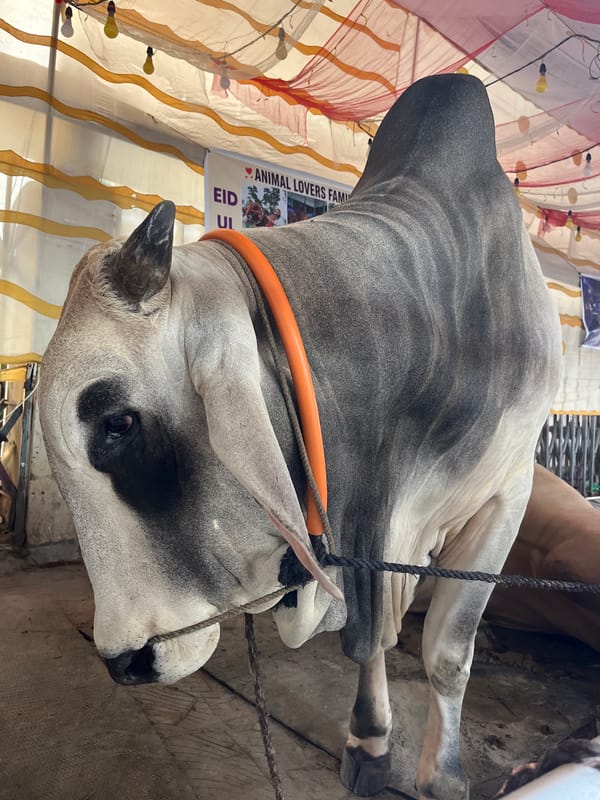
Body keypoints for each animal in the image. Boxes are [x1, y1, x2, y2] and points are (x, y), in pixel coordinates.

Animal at [38, 75, 561, 800]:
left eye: (118, 423)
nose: (125, 661)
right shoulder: (368, 550)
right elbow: (373, 644)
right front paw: (370, 741)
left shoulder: (507, 494)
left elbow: (447, 651)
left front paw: (443, 774)